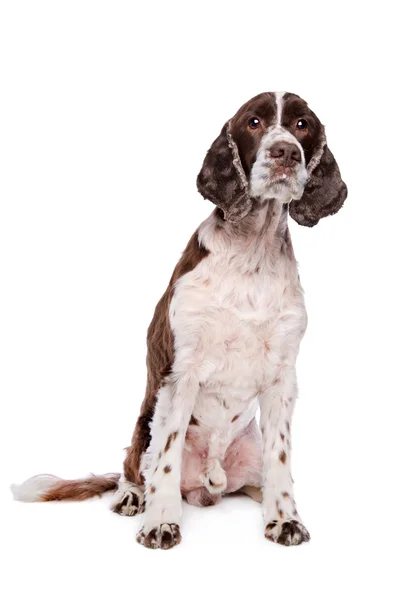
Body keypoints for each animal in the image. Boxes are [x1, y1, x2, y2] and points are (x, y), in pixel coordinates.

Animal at [10, 90, 346, 548]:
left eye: (302, 125)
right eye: (254, 122)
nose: (286, 153)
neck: (251, 254)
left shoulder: (282, 376)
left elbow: (281, 459)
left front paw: (284, 518)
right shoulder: (180, 373)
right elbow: (166, 459)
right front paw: (160, 522)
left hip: (247, 451)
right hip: (144, 425)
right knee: (135, 468)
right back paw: (132, 497)